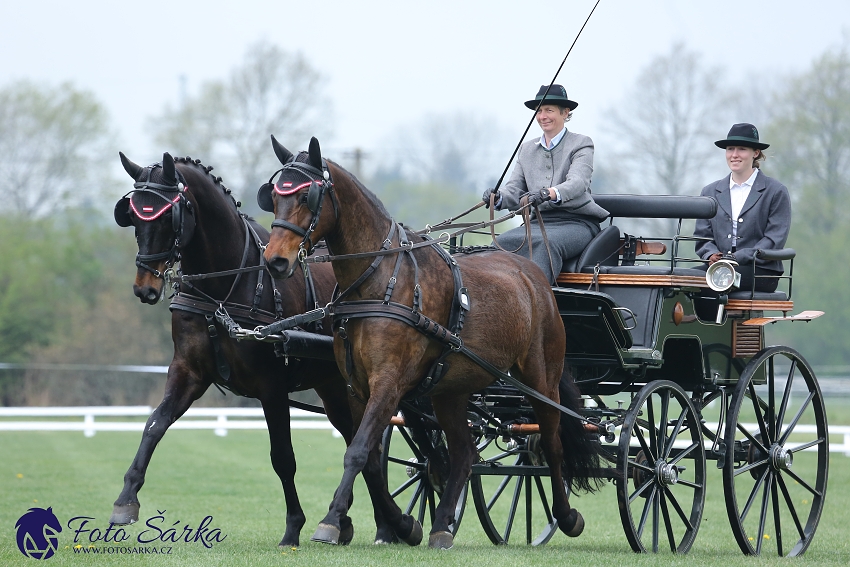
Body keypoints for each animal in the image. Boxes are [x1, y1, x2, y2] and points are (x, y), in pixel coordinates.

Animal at [109, 153, 394, 548]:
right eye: (133, 215)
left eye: (168, 216)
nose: (144, 287)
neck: (225, 286)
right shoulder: (187, 372)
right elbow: (154, 425)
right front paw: (126, 500)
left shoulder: (271, 387)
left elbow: (283, 458)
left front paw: (293, 527)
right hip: (335, 385)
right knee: (358, 440)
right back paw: (361, 521)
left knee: (367, 444)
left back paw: (388, 524)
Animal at [262, 138, 600, 552]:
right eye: (272, 197)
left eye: (306, 196)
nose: (275, 261)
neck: (380, 282)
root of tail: (533, 274)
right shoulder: (357, 387)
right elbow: (369, 457)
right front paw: (403, 524)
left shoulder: (389, 383)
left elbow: (357, 451)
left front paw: (331, 521)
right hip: (449, 391)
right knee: (464, 453)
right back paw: (441, 526)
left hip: (541, 376)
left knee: (551, 440)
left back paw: (566, 516)